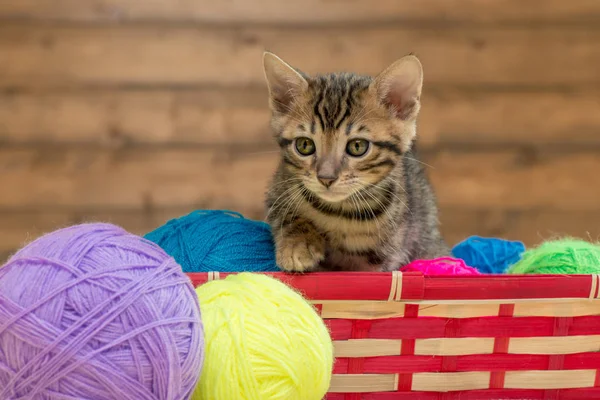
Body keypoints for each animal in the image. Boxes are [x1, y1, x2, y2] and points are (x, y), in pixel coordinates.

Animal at [262, 51, 450, 272]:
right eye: (304, 145)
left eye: (357, 146)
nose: (326, 178)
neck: (339, 211)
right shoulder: (277, 190)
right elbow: (287, 215)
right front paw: (297, 245)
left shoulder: (384, 259)